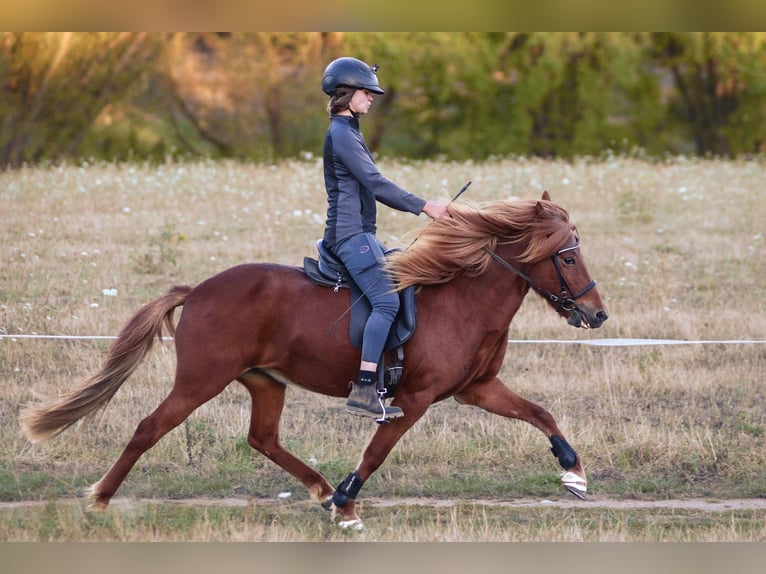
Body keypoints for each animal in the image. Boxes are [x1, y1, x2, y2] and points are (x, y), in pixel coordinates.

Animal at [20, 190, 608, 530]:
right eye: (568, 256)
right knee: (149, 427)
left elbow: (539, 413)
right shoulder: (414, 400)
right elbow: (375, 453)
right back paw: (99, 499)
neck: (460, 298)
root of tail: (199, 289)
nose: (597, 315)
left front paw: (574, 472)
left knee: (262, 438)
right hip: (201, 380)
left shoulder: (477, 388)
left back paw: (320, 488)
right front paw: (347, 502)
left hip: (264, 381)